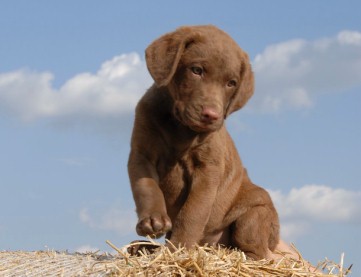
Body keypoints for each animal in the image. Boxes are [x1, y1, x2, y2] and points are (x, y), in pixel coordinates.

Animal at [128, 24, 280, 260]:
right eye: (196, 70)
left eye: (231, 83)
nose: (211, 115)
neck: (179, 126)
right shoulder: (141, 154)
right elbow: (146, 187)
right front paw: (152, 221)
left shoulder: (208, 170)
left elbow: (192, 213)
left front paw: (179, 249)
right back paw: (144, 247)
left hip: (255, 214)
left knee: (256, 250)